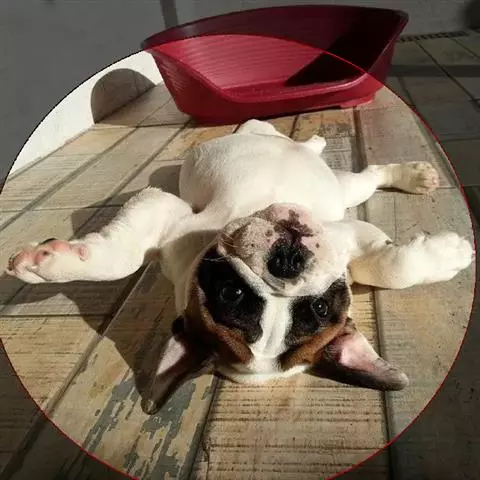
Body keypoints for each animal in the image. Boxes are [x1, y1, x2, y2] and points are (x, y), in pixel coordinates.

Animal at [6, 119, 474, 414]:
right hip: (326, 179)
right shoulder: (165, 215)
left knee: (365, 173)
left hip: (341, 189)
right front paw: (49, 263)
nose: (287, 262)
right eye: (231, 293)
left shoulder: (345, 233)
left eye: (320, 308)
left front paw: (450, 255)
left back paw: (410, 175)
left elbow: (395, 266)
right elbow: (120, 257)